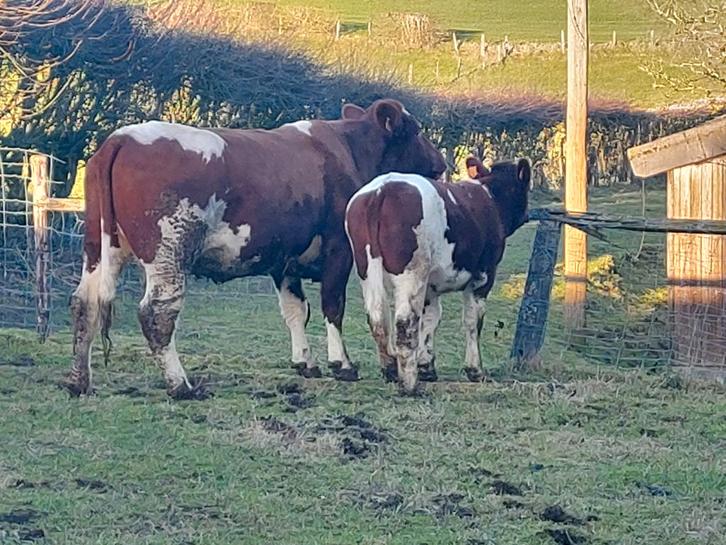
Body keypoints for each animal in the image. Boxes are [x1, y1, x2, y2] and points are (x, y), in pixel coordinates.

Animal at [63, 99, 447, 399]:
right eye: (414, 130)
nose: (442, 164)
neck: (346, 150)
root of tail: (121, 139)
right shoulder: (339, 250)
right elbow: (332, 307)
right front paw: (342, 364)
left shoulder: (284, 262)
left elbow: (296, 311)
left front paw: (304, 362)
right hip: (168, 253)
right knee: (157, 314)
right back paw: (180, 384)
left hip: (99, 250)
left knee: (85, 303)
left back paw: (79, 380)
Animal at [345, 156, 531, 394]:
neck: (489, 195)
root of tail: (382, 188)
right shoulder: (483, 275)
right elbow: (473, 320)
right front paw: (475, 371)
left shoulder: (430, 287)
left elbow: (431, 319)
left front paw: (427, 367)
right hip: (412, 272)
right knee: (405, 322)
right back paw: (409, 384)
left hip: (367, 269)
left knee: (377, 318)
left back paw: (391, 371)